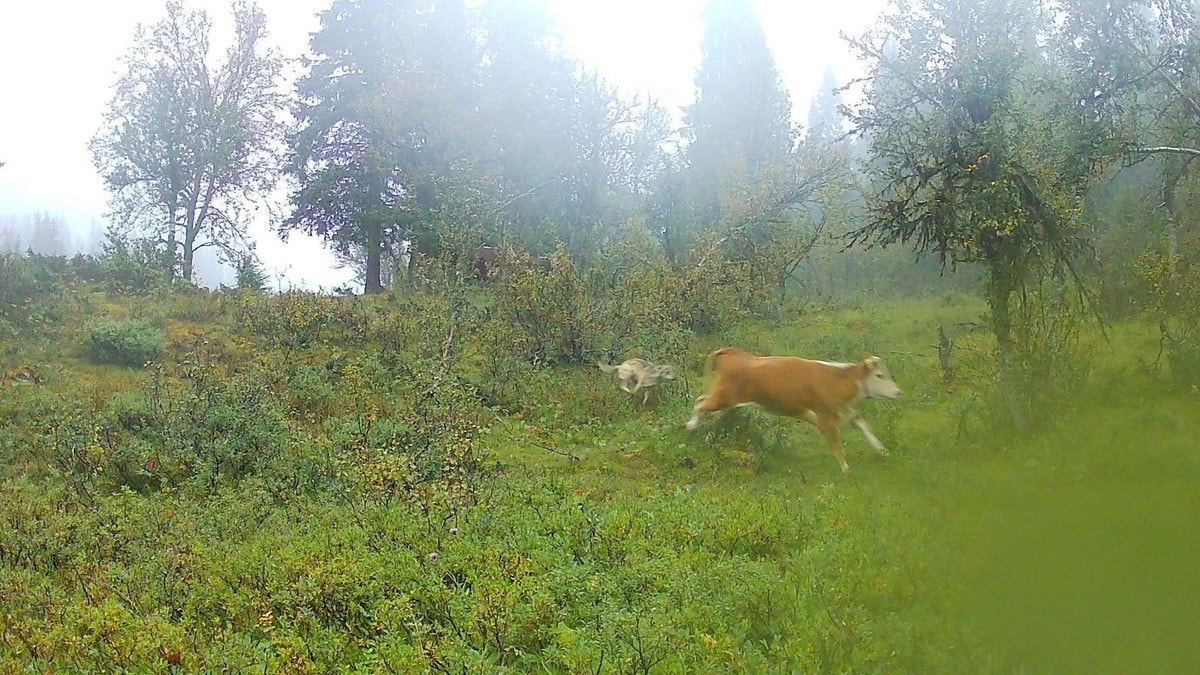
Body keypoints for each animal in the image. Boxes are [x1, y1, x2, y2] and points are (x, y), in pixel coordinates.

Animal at [686, 348, 902, 470]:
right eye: (879, 375)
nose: (898, 392)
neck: (837, 380)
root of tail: (735, 352)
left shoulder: (847, 411)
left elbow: (866, 429)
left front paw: (882, 451)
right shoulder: (826, 419)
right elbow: (837, 445)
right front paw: (846, 470)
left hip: (728, 402)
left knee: (705, 405)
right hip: (722, 398)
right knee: (700, 403)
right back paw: (690, 426)